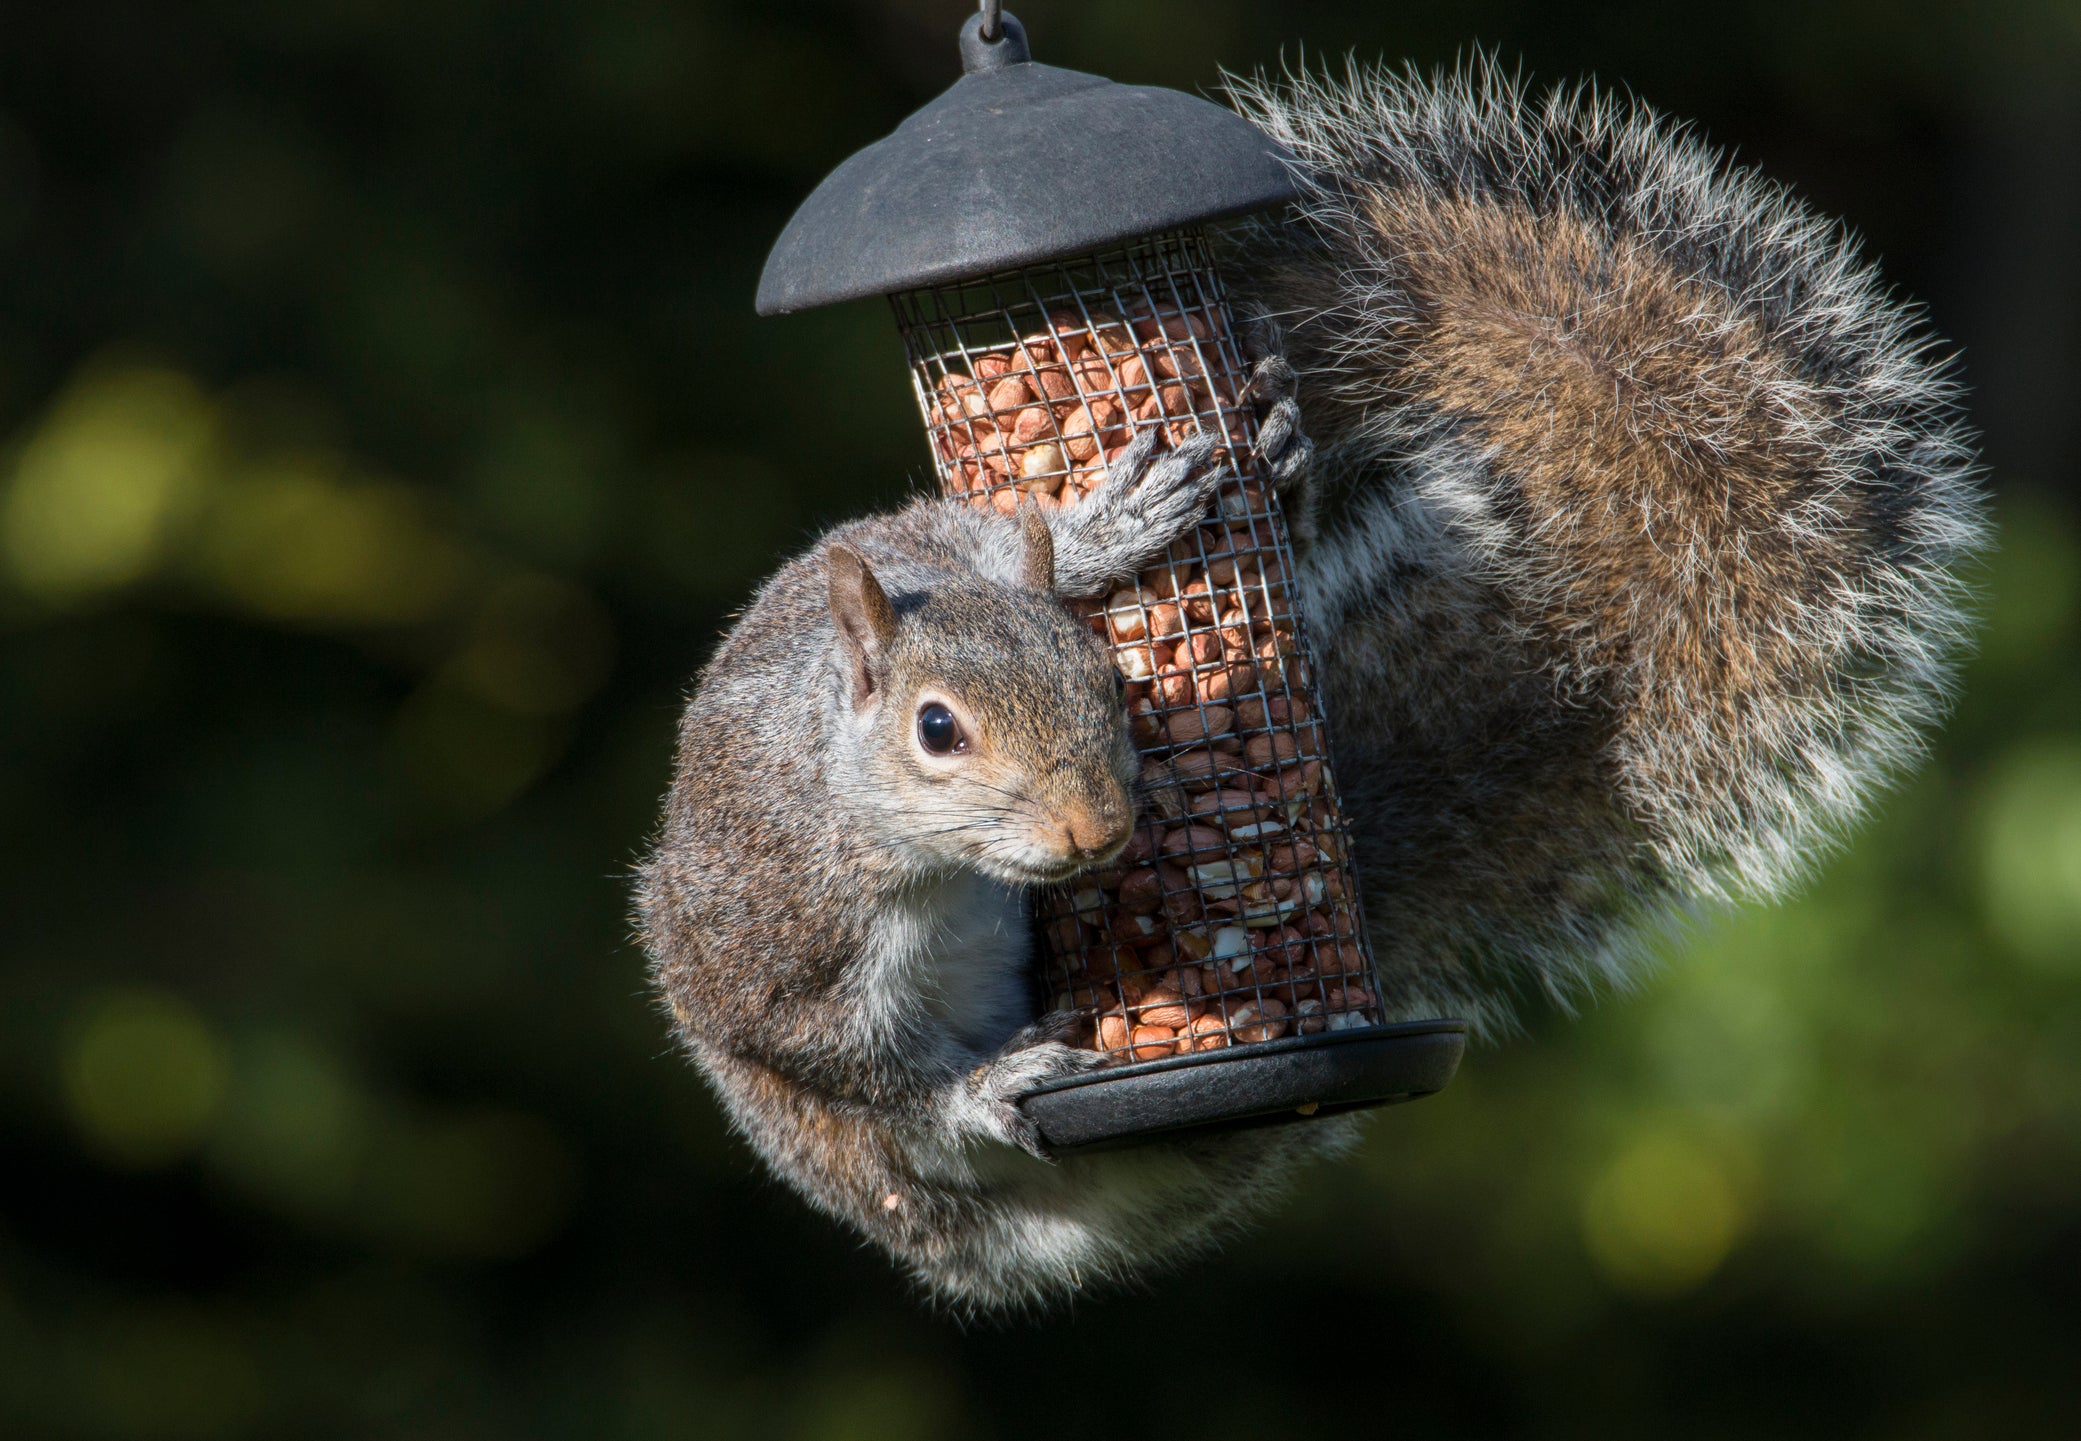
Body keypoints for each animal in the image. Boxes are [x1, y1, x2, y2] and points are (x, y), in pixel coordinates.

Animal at [628, 61, 1981, 1307]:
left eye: (1103, 682)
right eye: (935, 730)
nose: (1095, 830)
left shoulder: (925, 542)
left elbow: (997, 538)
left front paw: (1109, 529)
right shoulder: (776, 946)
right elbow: (860, 1070)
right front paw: (984, 1083)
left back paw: (1275, 465)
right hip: (852, 1159)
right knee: (907, 1143)